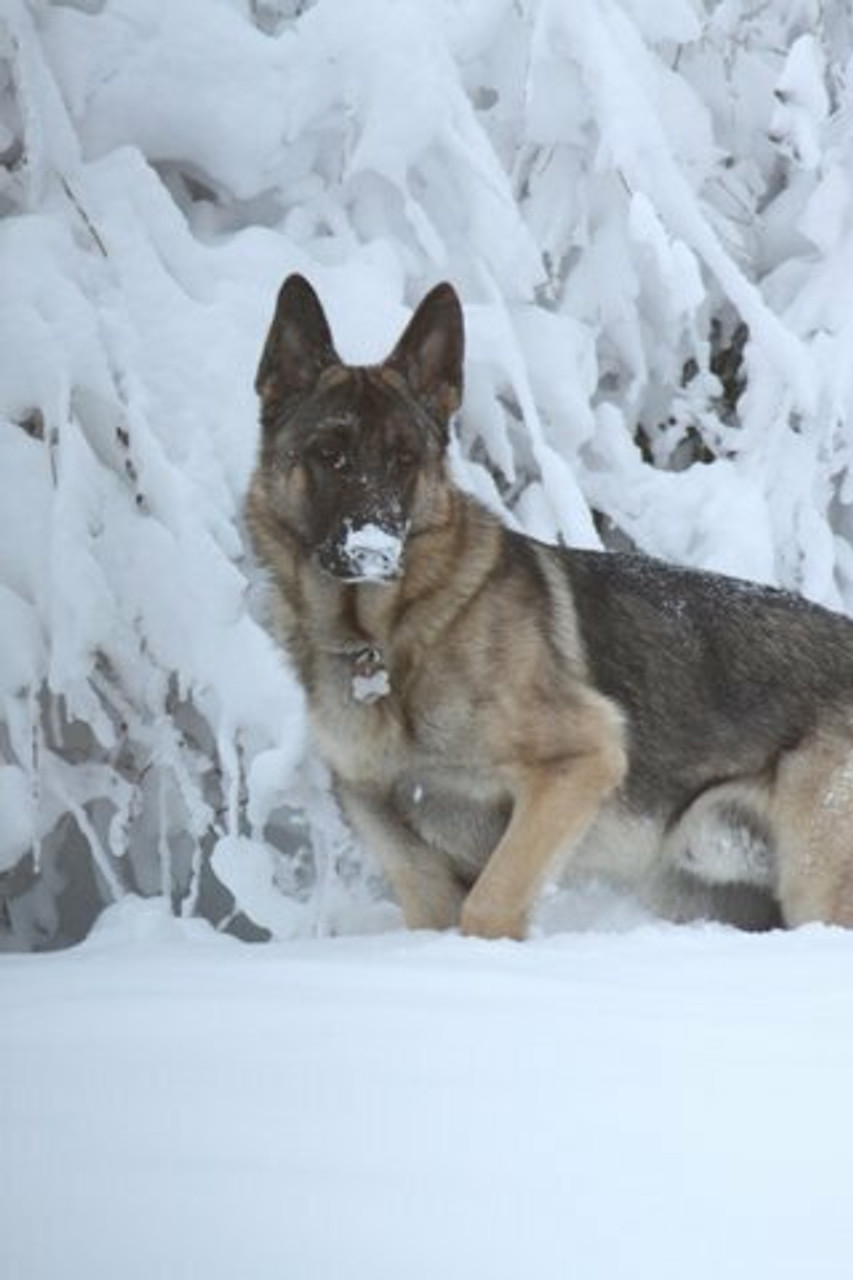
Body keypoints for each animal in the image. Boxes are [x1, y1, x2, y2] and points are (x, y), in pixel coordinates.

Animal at [245, 275, 853, 942]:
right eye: (329, 454)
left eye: (406, 459)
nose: (373, 551)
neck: (391, 638)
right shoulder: (403, 849)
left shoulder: (576, 766)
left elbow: (488, 906)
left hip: (815, 886)